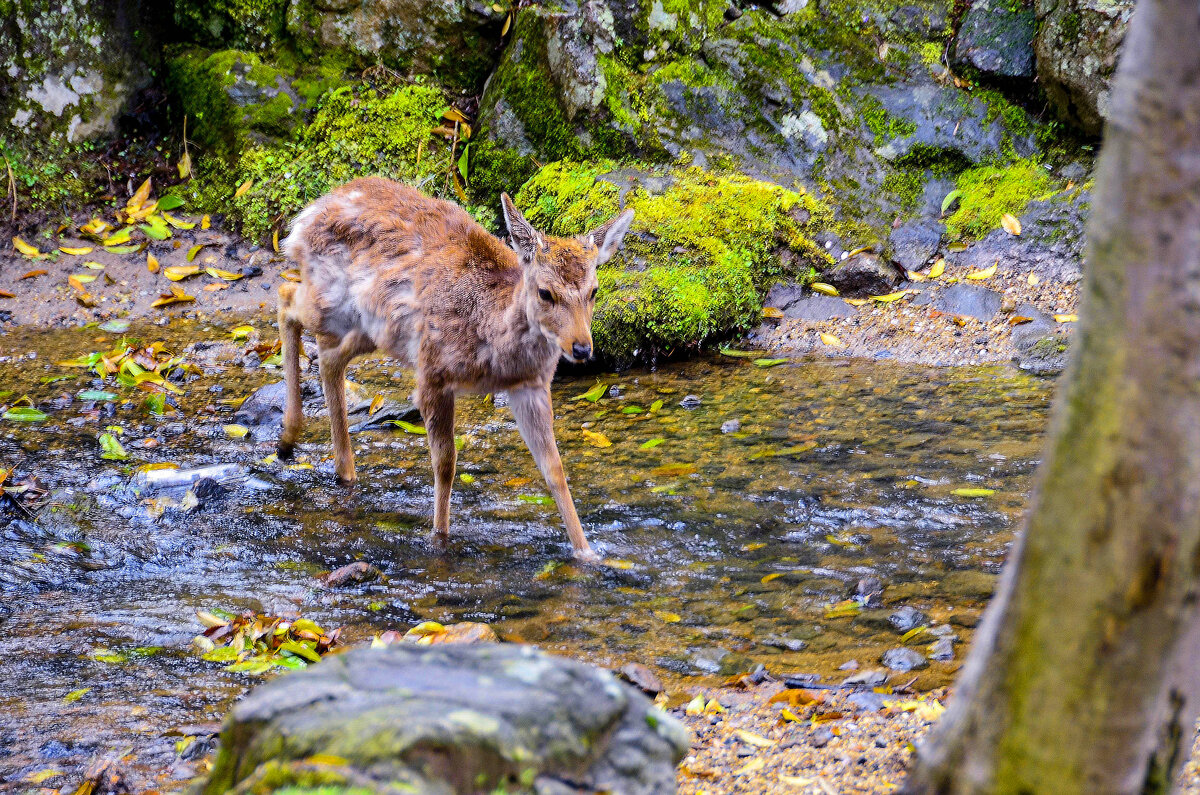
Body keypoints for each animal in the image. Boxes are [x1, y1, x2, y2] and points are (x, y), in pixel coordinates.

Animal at [277, 177, 638, 564]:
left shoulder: (531, 386)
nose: (582, 348)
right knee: (286, 297)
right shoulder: (433, 374)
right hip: (332, 301)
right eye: (545, 292)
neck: (494, 347)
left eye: (594, 291)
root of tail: (307, 215)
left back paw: (339, 468)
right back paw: (288, 439)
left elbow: (554, 469)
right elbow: (446, 464)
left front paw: (587, 554)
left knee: (329, 356)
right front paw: (440, 538)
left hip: (372, 329)